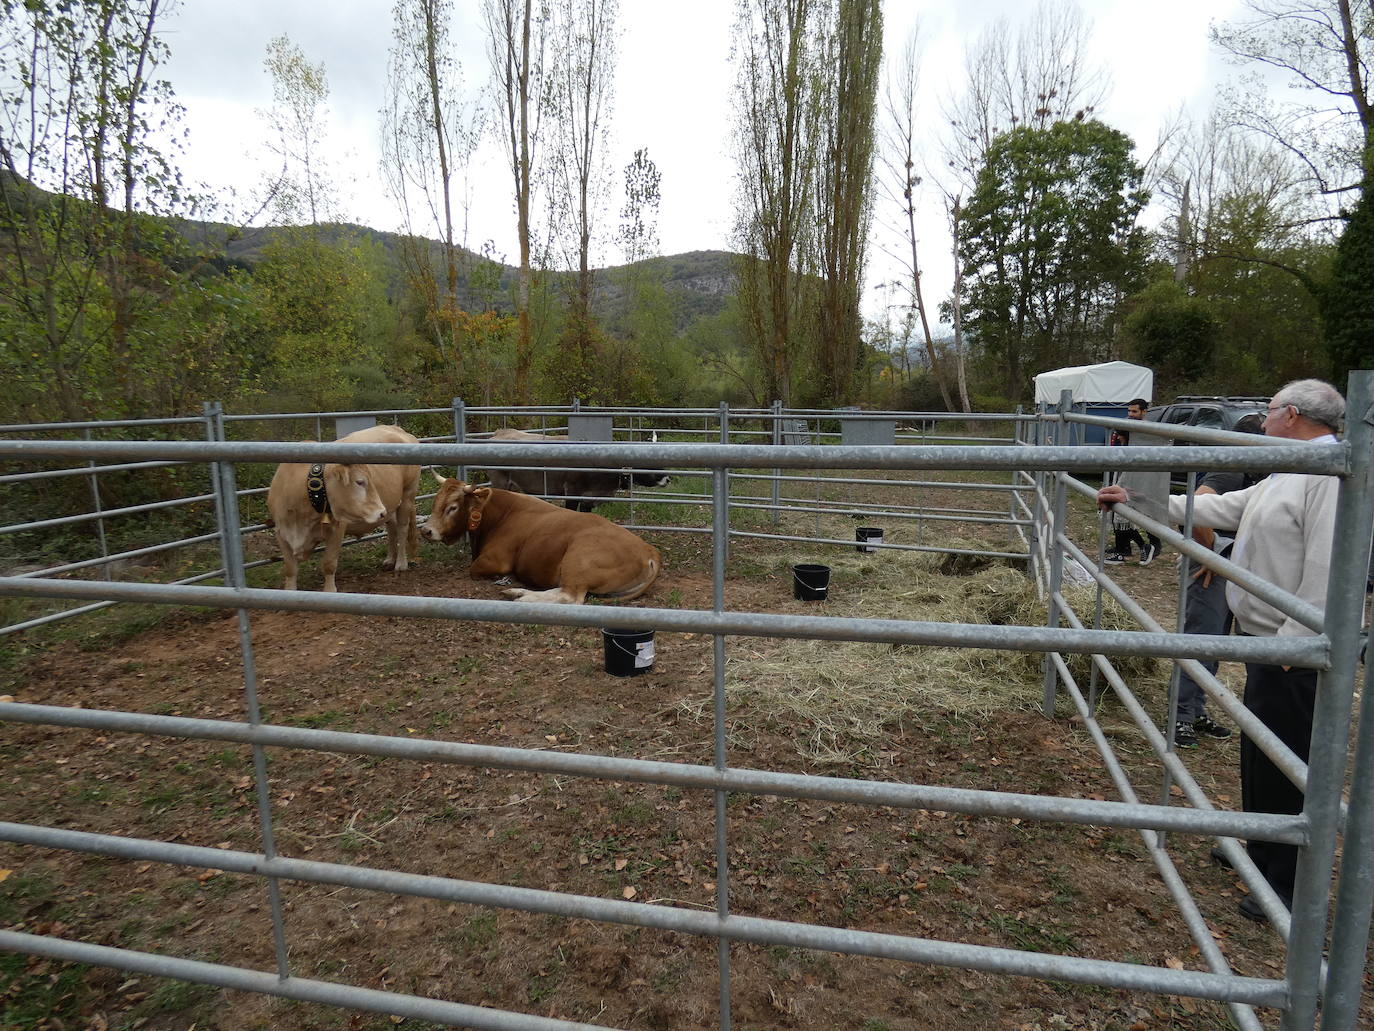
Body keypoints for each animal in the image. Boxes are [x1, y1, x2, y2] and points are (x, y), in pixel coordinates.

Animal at [265, 426, 420, 588]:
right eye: (360, 481)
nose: (380, 511)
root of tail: (396, 429)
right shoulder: (281, 533)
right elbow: (290, 569)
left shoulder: (337, 529)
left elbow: (329, 564)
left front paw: (330, 590)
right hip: (391, 505)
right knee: (392, 527)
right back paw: (390, 559)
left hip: (408, 495)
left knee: (402, 528)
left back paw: (401, 563)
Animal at [420, 475, 662, 604]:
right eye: (435, 503)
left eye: (453, 507)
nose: (426, 531)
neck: (499, 514)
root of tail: (650, 551)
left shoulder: (494, 561)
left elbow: (474, 569)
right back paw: (518, 591)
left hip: (578, 559)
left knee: (570, 596)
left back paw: (522, 597)